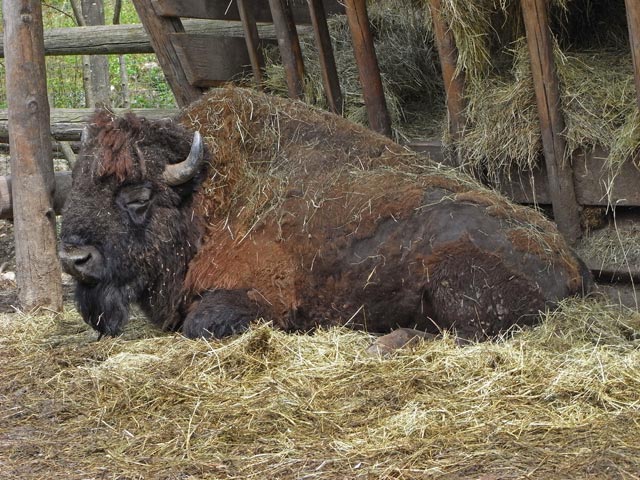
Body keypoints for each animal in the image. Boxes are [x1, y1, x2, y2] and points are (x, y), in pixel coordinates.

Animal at [59, 87, 592, 340]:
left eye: (137, 197)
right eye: (77, 184)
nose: (74, 259)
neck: (204, 194)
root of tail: (570, 259)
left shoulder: (254, 299)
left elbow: (200, 325)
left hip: (459, 287)